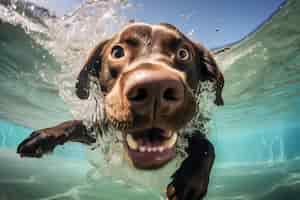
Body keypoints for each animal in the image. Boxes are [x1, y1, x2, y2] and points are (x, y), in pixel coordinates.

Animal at [16, 22, 223, 200]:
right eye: (117, 52)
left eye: (183, 53)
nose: (155, 88)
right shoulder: (101, 132)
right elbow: (75, 123)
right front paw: (43, 137)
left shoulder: (195, 128)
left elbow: (207, 145)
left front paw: (190, 181)